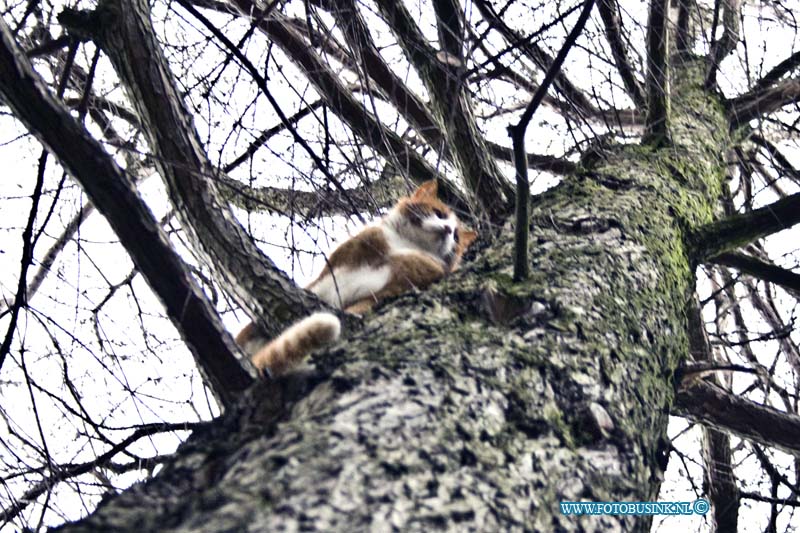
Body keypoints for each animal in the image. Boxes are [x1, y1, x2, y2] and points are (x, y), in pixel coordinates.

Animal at [236, 181, 476, 376]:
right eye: (439, 213)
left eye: (456, 236)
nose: (448, 230)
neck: (404, 245)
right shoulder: (340, 266)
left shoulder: (409, 278)